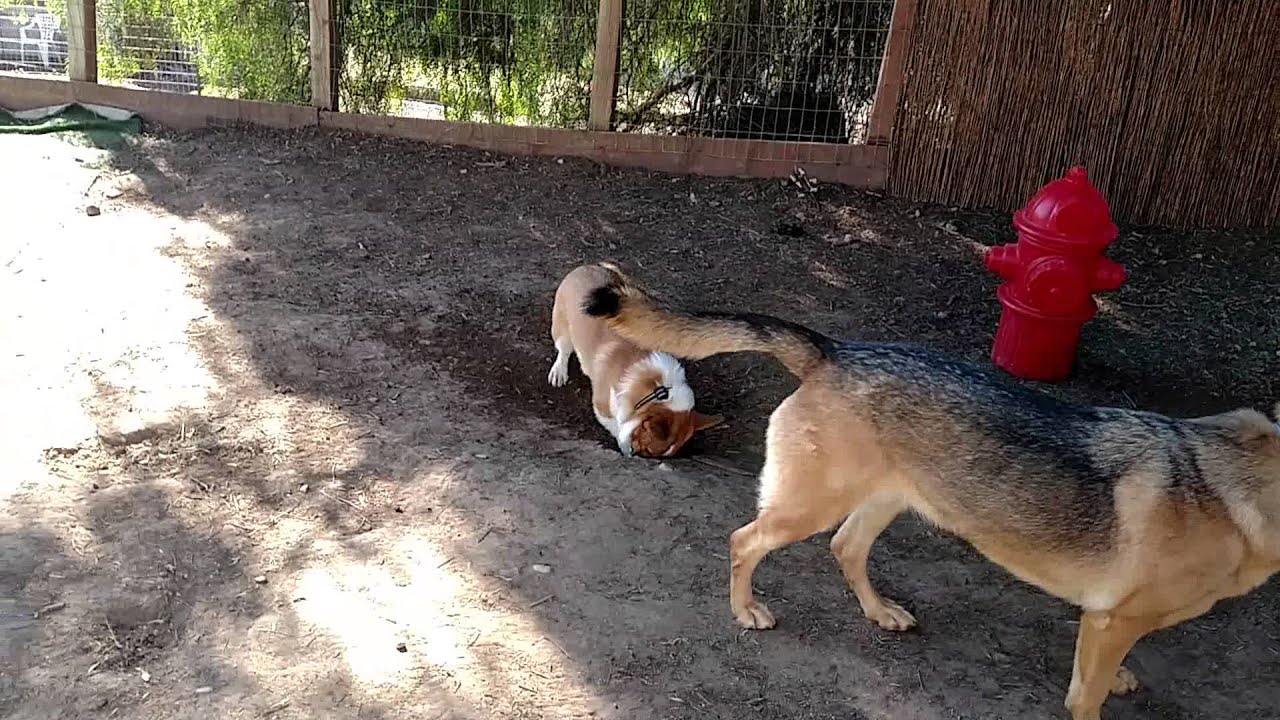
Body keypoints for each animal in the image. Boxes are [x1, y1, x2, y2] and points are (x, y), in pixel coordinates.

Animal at [548, 262, 721, 457]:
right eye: (648, 446)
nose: (635, 454)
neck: (656, 389)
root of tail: (589, 266)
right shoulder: (603, 408)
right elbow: (617, 426)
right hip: (562, 330)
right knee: (563, 350)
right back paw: (559, 372)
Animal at [583, 268, 1280, 720]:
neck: (1239, 493)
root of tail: (835, 352)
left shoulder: (1109, 623)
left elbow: (1105, 669)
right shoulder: (1111, 624)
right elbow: (1087, 696)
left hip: (883, 500)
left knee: (845, 549)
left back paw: (880, 612)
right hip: (808, 507)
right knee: (744, 540)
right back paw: (747, 609)